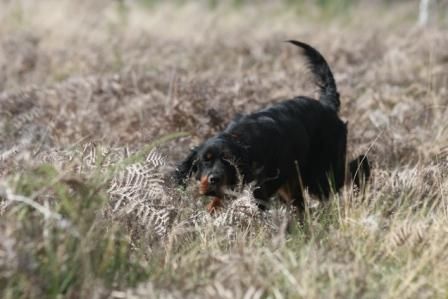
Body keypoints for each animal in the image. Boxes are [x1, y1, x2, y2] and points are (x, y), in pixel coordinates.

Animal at [177, 40, 370, 213]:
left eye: (229, 161)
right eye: (205, 160)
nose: (214, 179)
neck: (240, 140)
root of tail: (327, 106)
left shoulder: (257, 191)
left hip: (321, 174)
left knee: (356, 166)